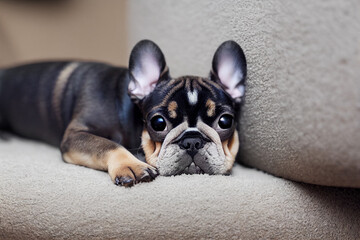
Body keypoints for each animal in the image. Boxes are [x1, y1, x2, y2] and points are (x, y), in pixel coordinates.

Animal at [0, 40, 246, 188]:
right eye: (158, 123)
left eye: (225, 122)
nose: (192, 140)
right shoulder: (75, 136)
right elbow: (106, 144)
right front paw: (132, 165)